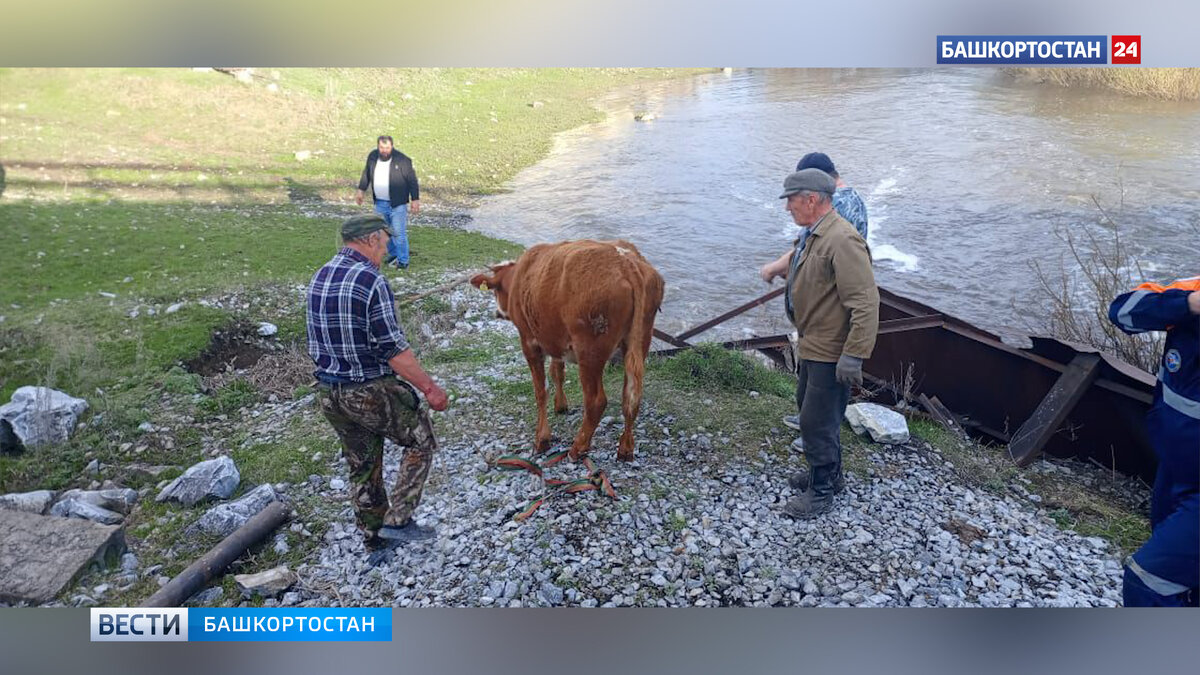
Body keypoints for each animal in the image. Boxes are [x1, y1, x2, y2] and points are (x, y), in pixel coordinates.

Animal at [470, 237, 667, 461]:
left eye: (496, 290)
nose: (497, 312)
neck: (519, 278)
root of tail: (626, 263)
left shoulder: (529, 341)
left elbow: (540, 390)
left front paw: (542, 439)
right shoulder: (554, 339)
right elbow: (557, 372)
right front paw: (561, 405)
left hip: (589, 351)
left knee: (596, 401)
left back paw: (578, 447)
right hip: (640, 340)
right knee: (631, 397)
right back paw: (625, 448)